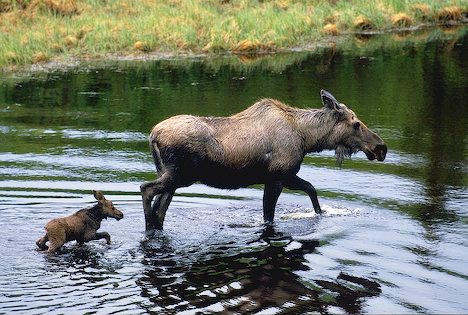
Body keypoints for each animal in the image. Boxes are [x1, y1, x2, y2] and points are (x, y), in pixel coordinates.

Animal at [140, 90, 388, 231]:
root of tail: (152, 135)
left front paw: (321, 213)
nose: (381, 148)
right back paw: (148, 227)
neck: (308, 139)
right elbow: (269, 215)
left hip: (172, 176)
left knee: (160, 209)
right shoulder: (277, 177)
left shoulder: (287, 175)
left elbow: (311, 189)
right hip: (180, 175)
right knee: (146, 189)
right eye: (356, 123)